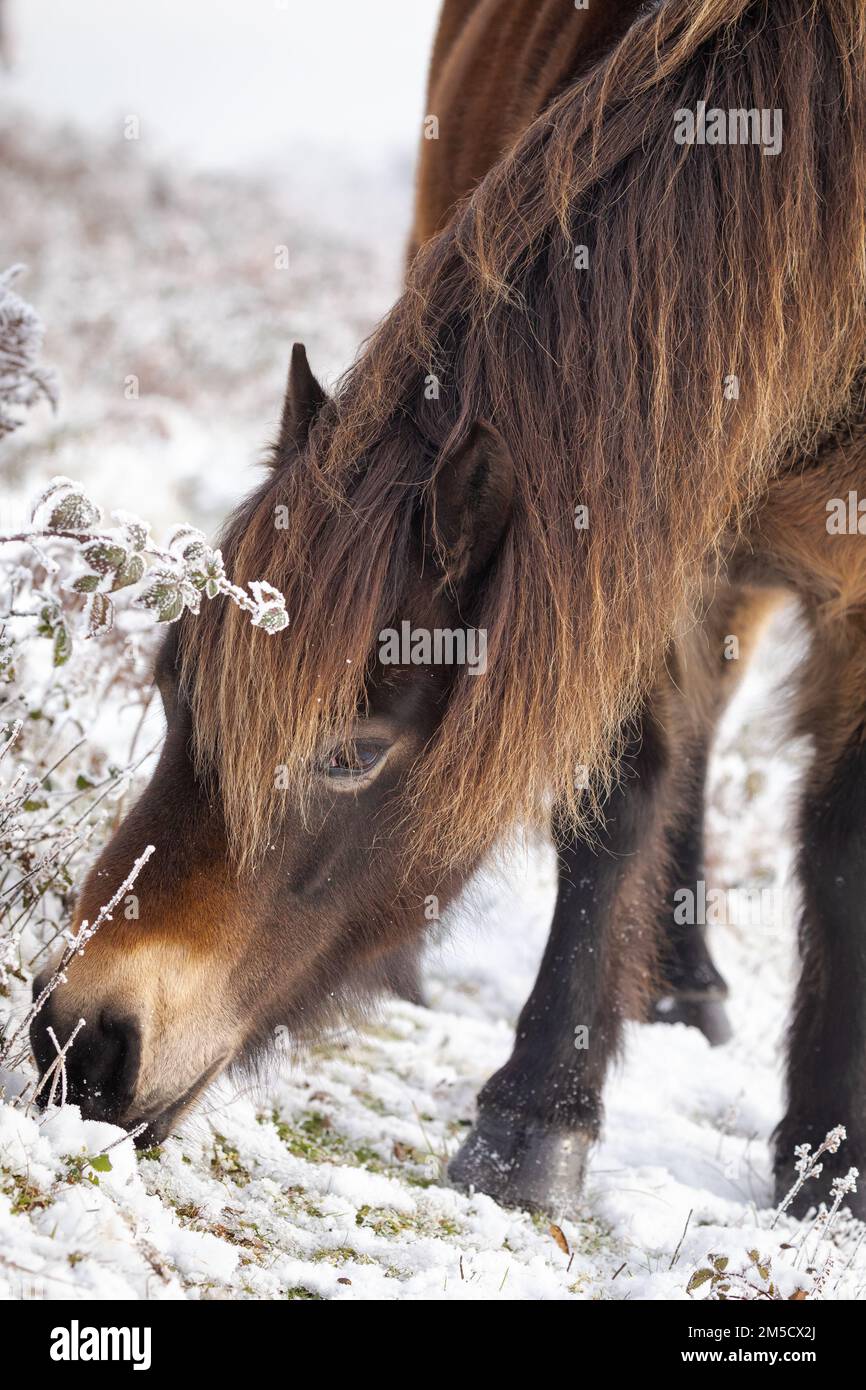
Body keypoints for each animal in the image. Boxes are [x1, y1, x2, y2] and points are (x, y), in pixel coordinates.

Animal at [30, 0, 866, 1217]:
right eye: (171, 688)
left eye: (350, 754)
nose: (78, 1041)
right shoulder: (639, 539)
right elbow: (622, 790)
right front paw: (538, 1123)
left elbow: (840, 833)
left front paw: (826, 1166)